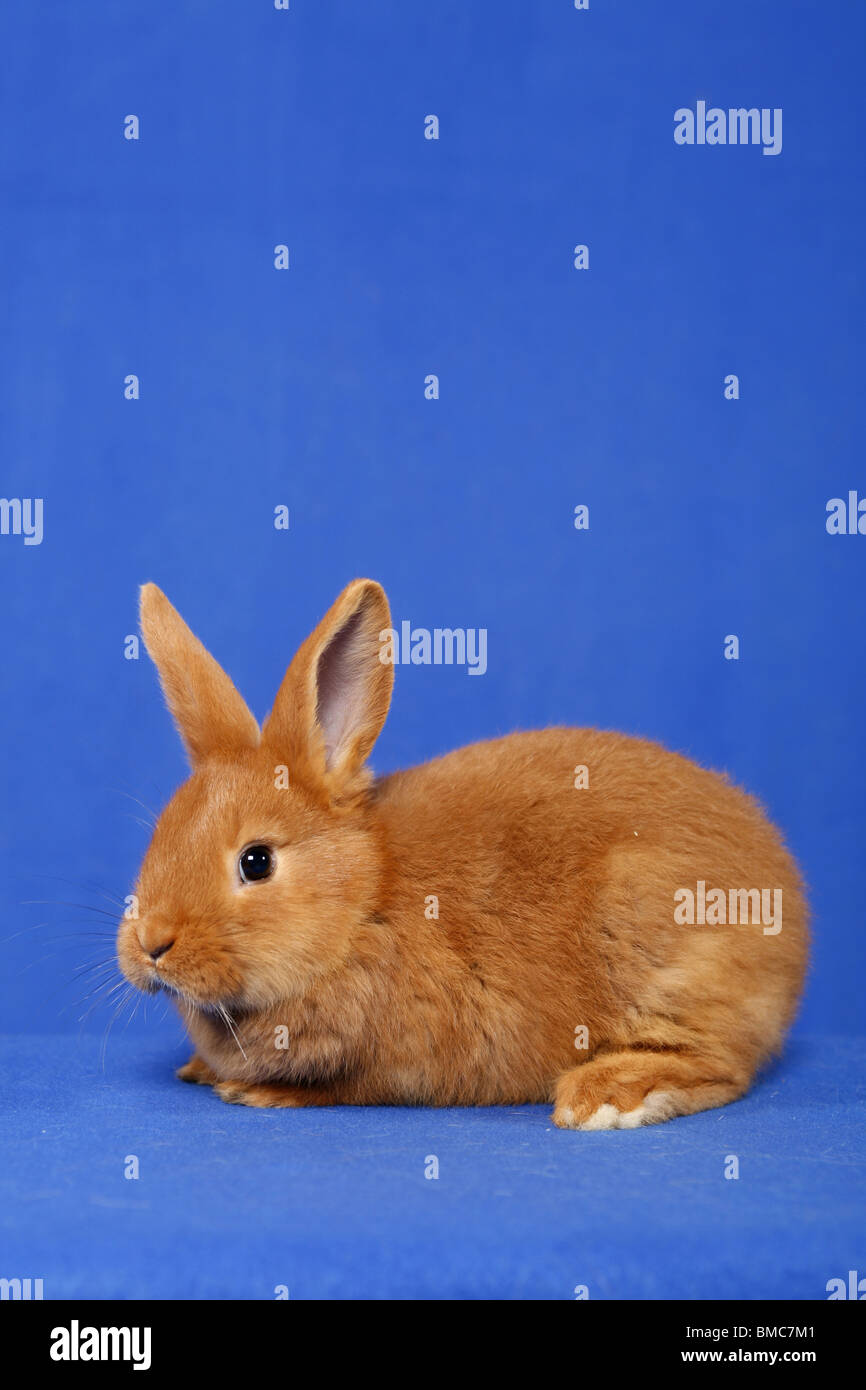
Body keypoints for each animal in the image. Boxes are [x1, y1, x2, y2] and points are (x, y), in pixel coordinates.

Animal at [113, 575, 806, 1128]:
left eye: (256, 861)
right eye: (160, 835)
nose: (150, 943)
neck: (364, 907)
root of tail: (788, 901)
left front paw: (256, 1091)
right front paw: (200, 1069)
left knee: (721, 1063)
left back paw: (606, 1098)